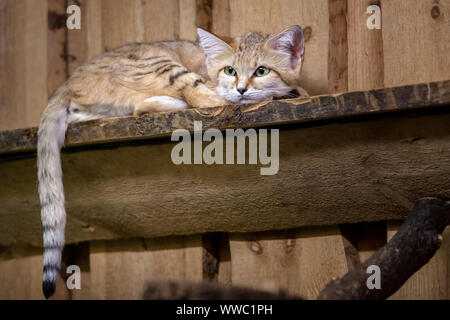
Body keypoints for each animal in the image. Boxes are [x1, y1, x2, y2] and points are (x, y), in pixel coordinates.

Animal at [38, 25, 308, 298]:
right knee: (191, 98)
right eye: (229, 70)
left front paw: (294, 91)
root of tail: (65, 85)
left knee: (137, 107)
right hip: (160, 66)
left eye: (261, 71)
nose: (241, 89)